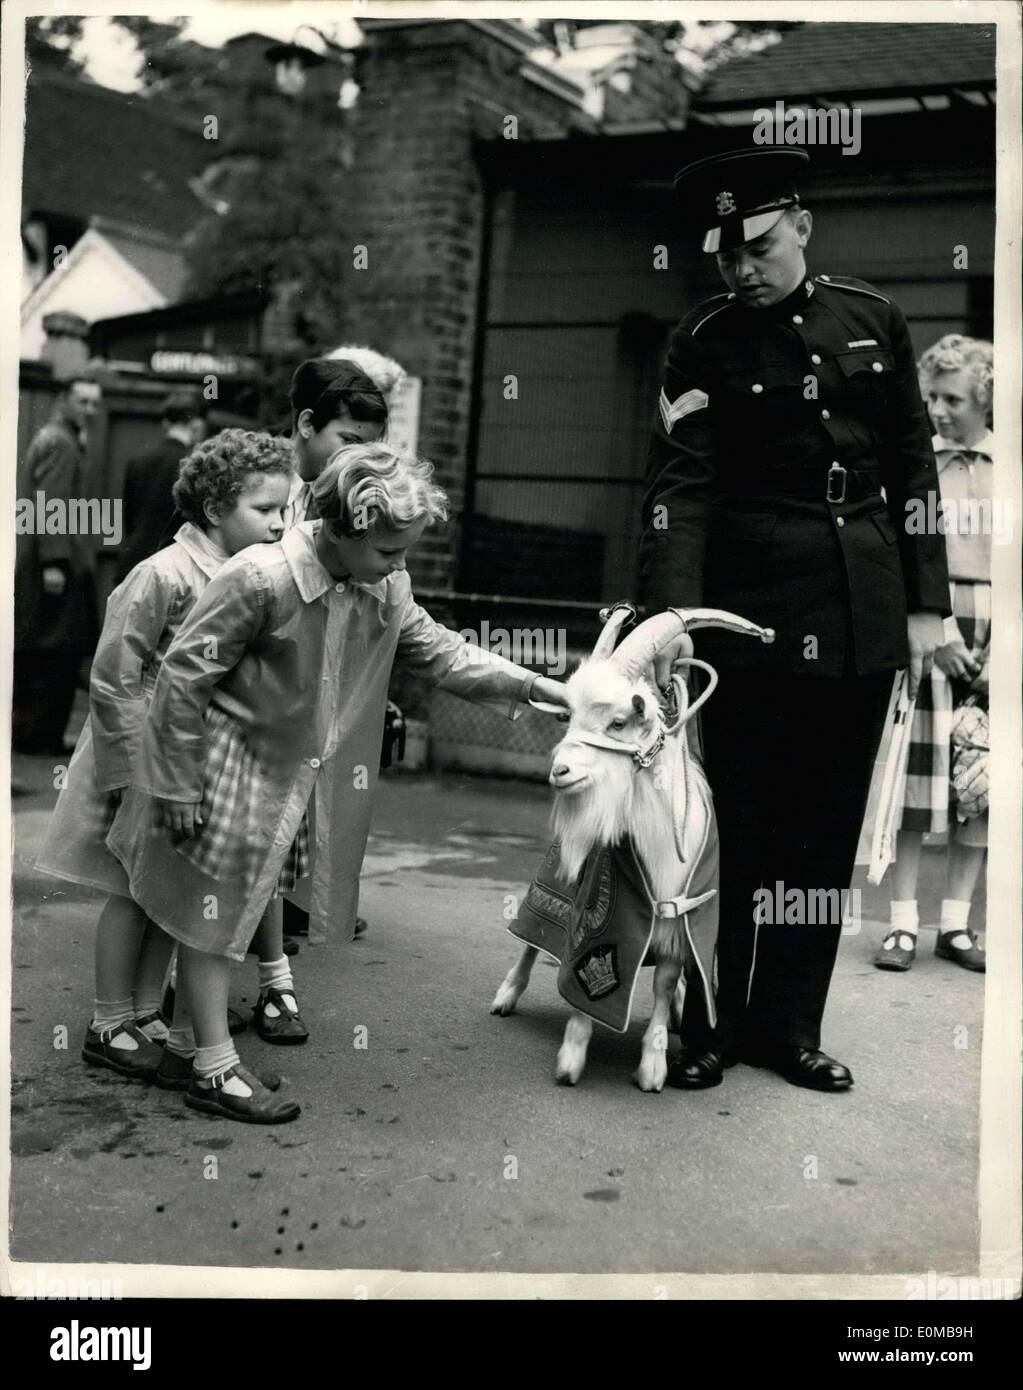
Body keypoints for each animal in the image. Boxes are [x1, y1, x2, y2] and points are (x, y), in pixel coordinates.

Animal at [492, 603, 772, 1089]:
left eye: (618, 722)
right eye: (567, 717)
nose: (559, 771)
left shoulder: (680, 920)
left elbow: (663, 985)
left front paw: (654, 1065)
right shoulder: (610, 921)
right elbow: (586, 982)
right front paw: (572, 1057)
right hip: (550, 880)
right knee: (532, 939)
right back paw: (507, 994)